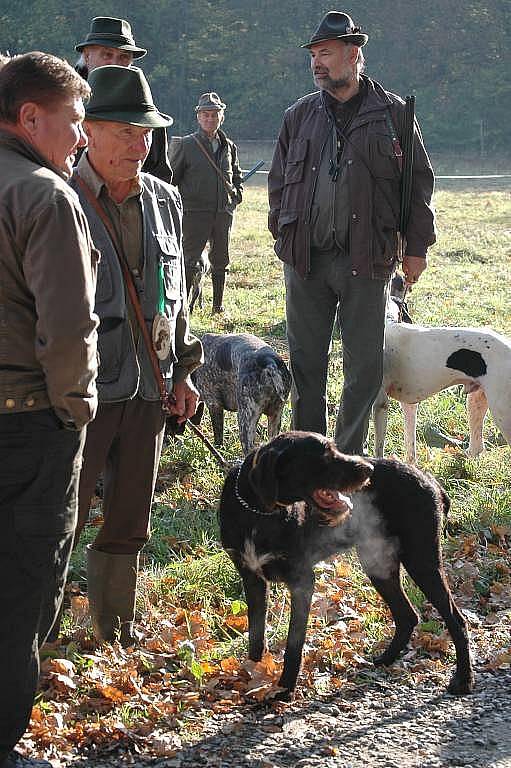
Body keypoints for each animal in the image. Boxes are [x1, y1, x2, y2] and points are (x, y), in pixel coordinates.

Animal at [218, 428, 474, 700]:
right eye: (324, 454)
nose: (369, 470)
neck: (257, 513)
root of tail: (430, 480)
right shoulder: (252, 579)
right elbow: (256, 635)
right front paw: (253, 672)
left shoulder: (302, 581)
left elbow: (294, 643)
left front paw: (285, 689)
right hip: (378, 562)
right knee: (408, 615)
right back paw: (385, 659)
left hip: (421, 560)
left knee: (456, 620)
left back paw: (463, 680)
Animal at [374, 272, 511, 460]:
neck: (389, 324)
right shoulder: (409, 405)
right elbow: (410, 449)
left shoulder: (380, 404)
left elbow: (378, 448)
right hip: (476, 401)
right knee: (477, 448)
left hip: (502, 414)